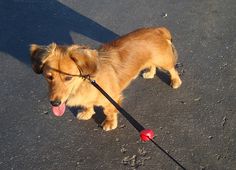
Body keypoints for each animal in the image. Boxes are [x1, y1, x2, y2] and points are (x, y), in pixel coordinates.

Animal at [30, 26, 183, 130]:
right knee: (152, 65)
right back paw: (150, 73)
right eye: (49, 77)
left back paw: (175, 81)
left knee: (172, 69)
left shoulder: (111, 99)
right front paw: (87, 113)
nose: (55, 103)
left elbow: (108, 112)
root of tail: (157, 29)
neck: (85, 83)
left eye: (68, 78)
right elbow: (87, 105)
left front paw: (109, 123)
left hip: (163, 61)